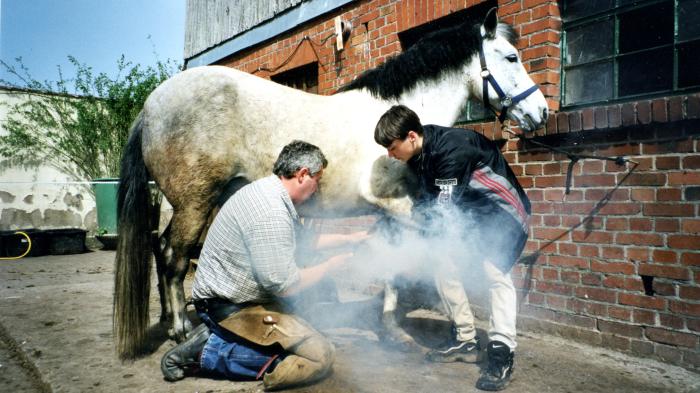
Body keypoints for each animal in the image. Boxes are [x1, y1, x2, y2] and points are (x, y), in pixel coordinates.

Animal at [113, 9, 548, 358]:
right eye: (511, 57)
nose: (540, 112)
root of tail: (149, 109)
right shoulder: (400, 206)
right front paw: (397, 332)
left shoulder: (392, 211)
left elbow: (391, 261)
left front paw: (389, 328)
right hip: (195, 203)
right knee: (173, 257)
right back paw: (180, 329)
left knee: (160, 247)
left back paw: (170, 320)